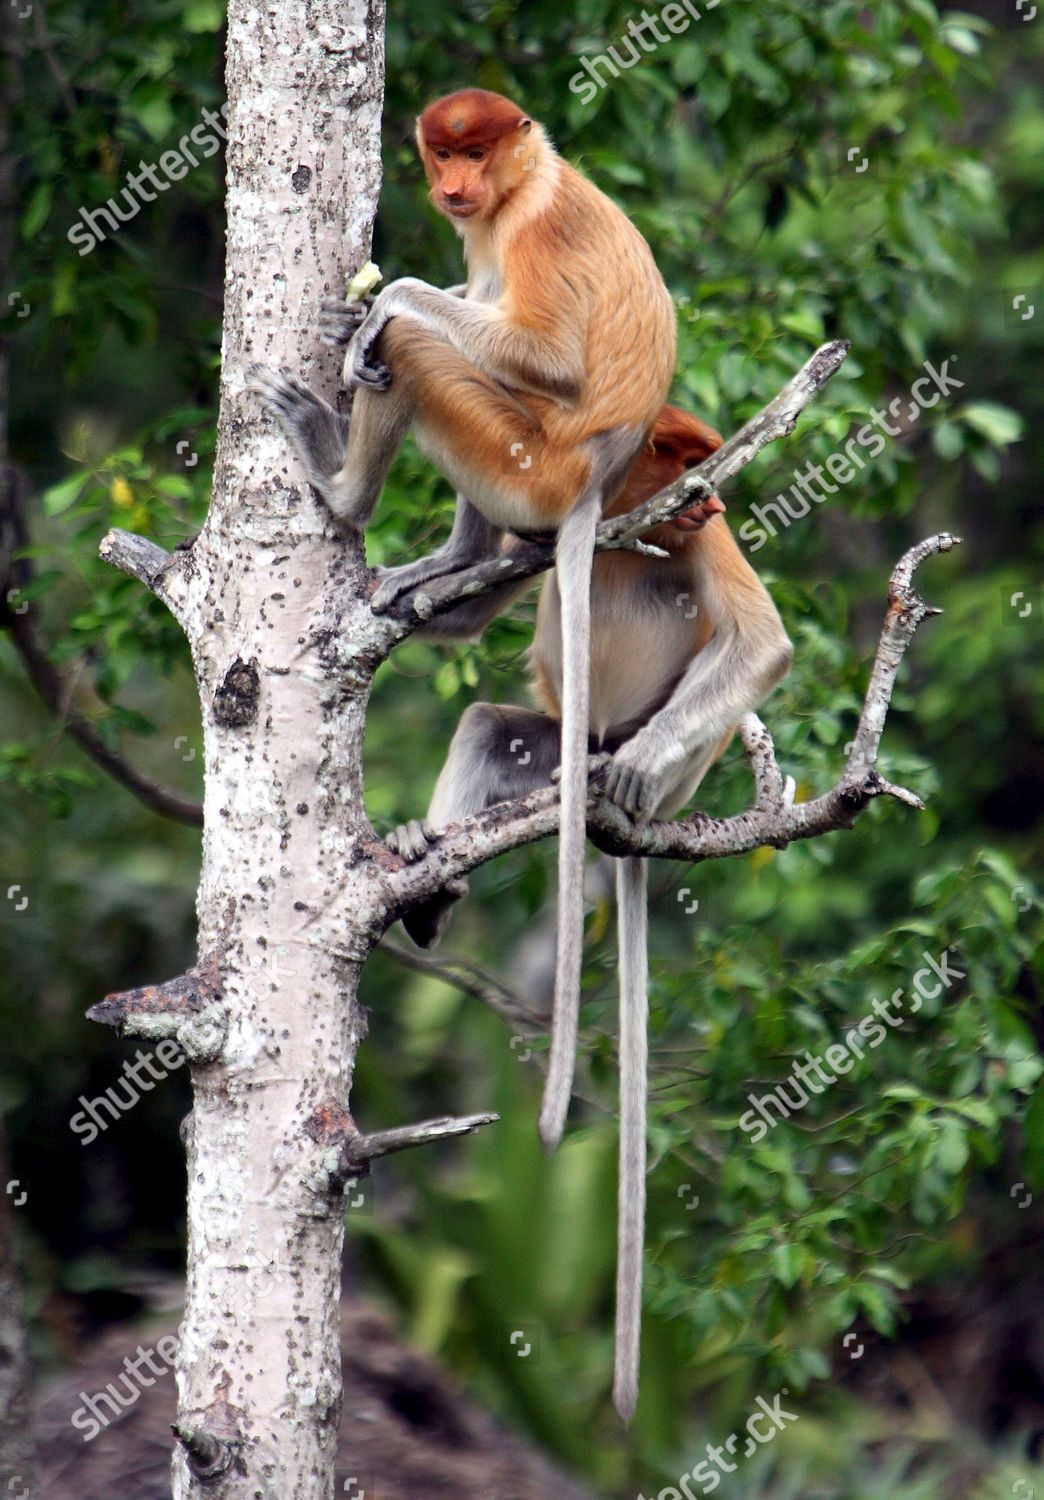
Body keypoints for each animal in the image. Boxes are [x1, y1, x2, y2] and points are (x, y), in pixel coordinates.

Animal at [250, 90, 678, 1170]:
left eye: (475, 152)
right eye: (443, 153)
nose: (452, 187)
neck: (525, 186)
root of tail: (593, 485)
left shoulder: (532, 234)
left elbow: (536, 353)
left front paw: (384, 299)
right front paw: (366, 302)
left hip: (522, 458)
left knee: (421, 357)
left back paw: (343, 483)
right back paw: (446, 564)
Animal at [384, 408, 792, 1416]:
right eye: (688, 462)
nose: (712, 501)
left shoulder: (706, 541)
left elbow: (762, 644)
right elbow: (462, 612)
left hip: (677, 760)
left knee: (694, 696)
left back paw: (625, 779)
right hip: (544, 738)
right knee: (490, 726)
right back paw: (428, 880)